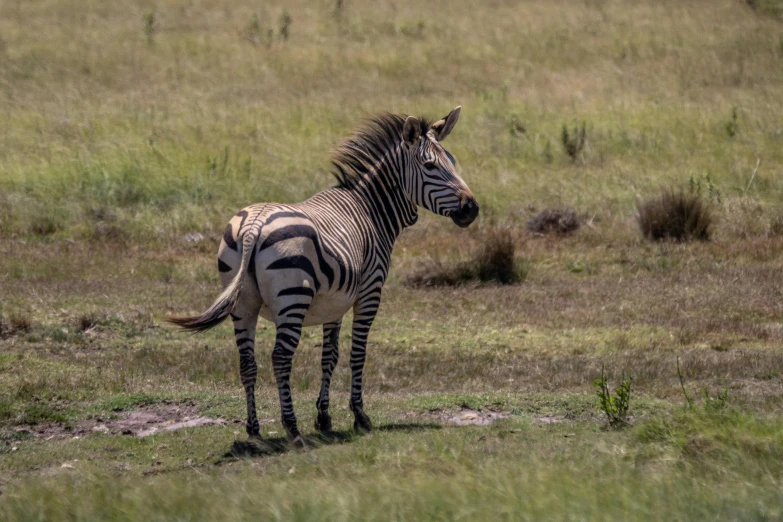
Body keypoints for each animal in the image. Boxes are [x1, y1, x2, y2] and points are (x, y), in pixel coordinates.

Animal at [169, 104, 480, 442]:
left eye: (452, 161)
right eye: (430, 166)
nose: (472, 208)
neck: (369, 209)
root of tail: (254, 225)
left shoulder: (335, 302)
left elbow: (329, 355)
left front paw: (324, 416)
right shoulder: (369, 291)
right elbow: (357, 353)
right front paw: (359, 415)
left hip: (243, 303)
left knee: (247, 361)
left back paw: (254, 430)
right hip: (292, 298)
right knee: (280, 357)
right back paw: (291, 427)